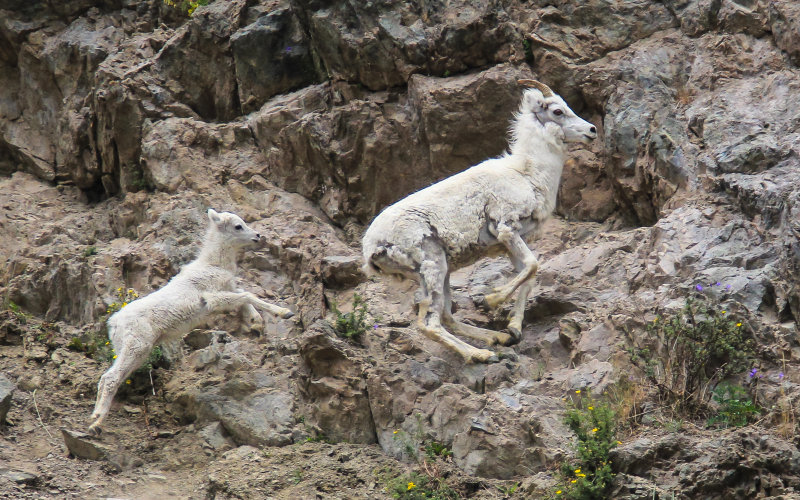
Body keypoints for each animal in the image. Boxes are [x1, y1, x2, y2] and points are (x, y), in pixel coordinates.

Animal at [88, 209, 294, 432]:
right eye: (238, 226)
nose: (257, 236)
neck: (213, 264)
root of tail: (114, 323)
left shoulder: (228, 290)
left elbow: (244, 296)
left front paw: (257, 321)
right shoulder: (213, 299)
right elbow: (247, 295)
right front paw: (284, 313)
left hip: (130, 350)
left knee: (107, 378)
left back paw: (94, 417)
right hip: (137, 347)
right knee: (111, 378)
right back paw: (97, 423)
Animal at [362, 81, 592, 364]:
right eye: (558, 111)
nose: (592, 130)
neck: (527, 174)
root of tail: (371, 248)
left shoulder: (512, 242)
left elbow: (529, 274)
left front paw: (513, 329)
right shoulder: (506, 228)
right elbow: (532, 265)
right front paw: (491, 300)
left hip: (440, 271)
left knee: (446, 315)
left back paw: (496, 338)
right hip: (432, 264)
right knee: (430, 323)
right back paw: (482, 354)